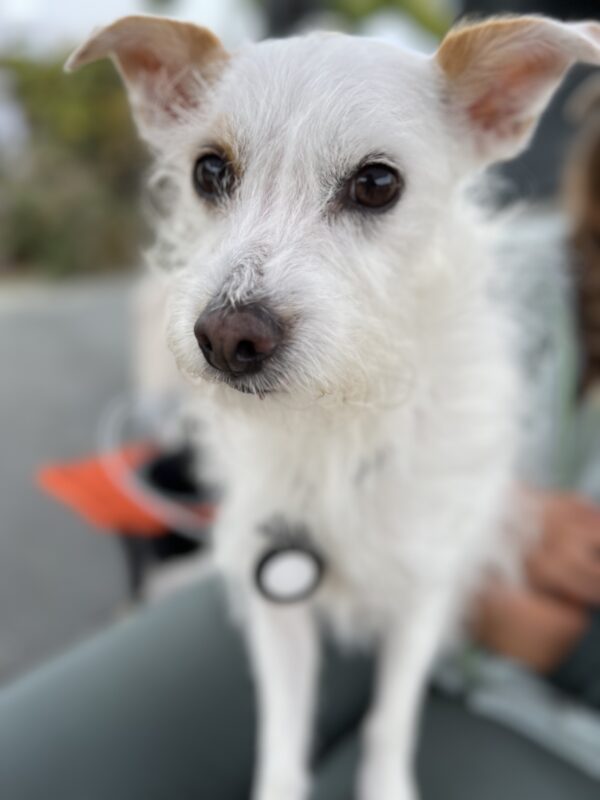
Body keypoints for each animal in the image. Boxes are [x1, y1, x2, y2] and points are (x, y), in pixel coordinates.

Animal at [68, 17, 600, 800]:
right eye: (209, 172)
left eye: (377, 183)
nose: (227, 338)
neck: (337, 417)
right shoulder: (277, 607)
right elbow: (283, 738)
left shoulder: (421, 597)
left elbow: (391, 719)